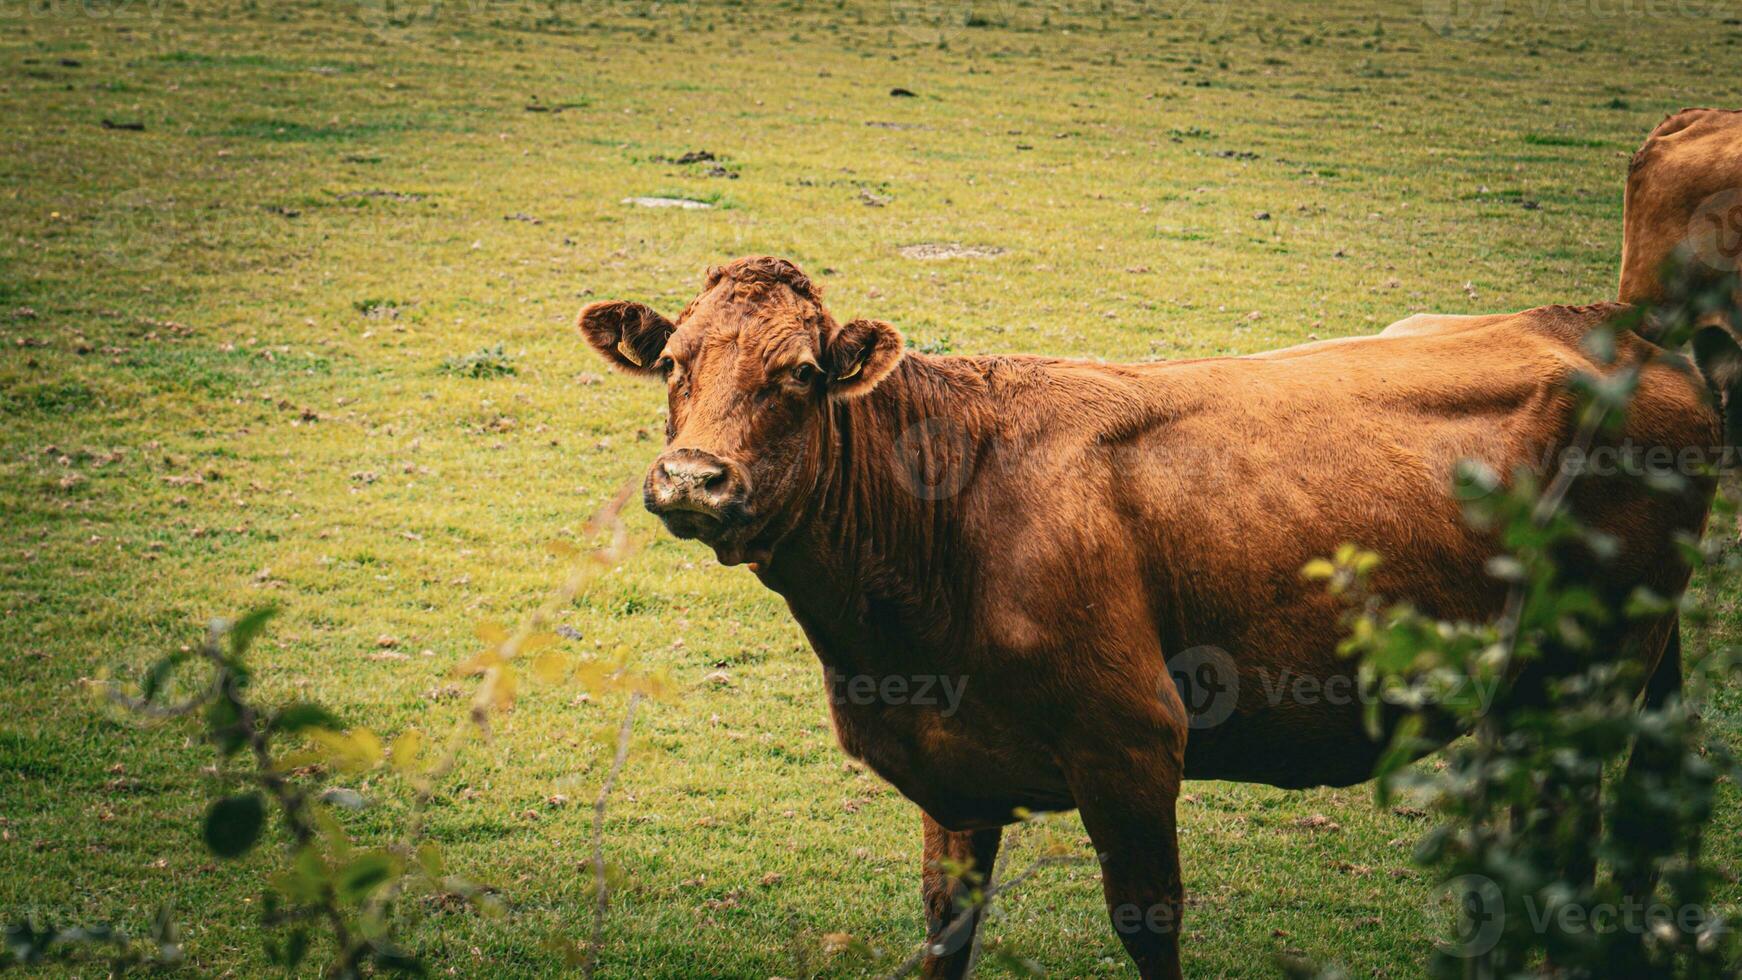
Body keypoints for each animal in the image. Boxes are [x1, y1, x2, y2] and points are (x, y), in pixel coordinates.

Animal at [578, 257, 1721, 974]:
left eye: (804, 373)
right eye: (674, 361)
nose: (693, 477)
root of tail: (1625, 332)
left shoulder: (1129, 745)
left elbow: (1148, 925)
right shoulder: (951, 774)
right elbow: (946, 932)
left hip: (1582, 685)